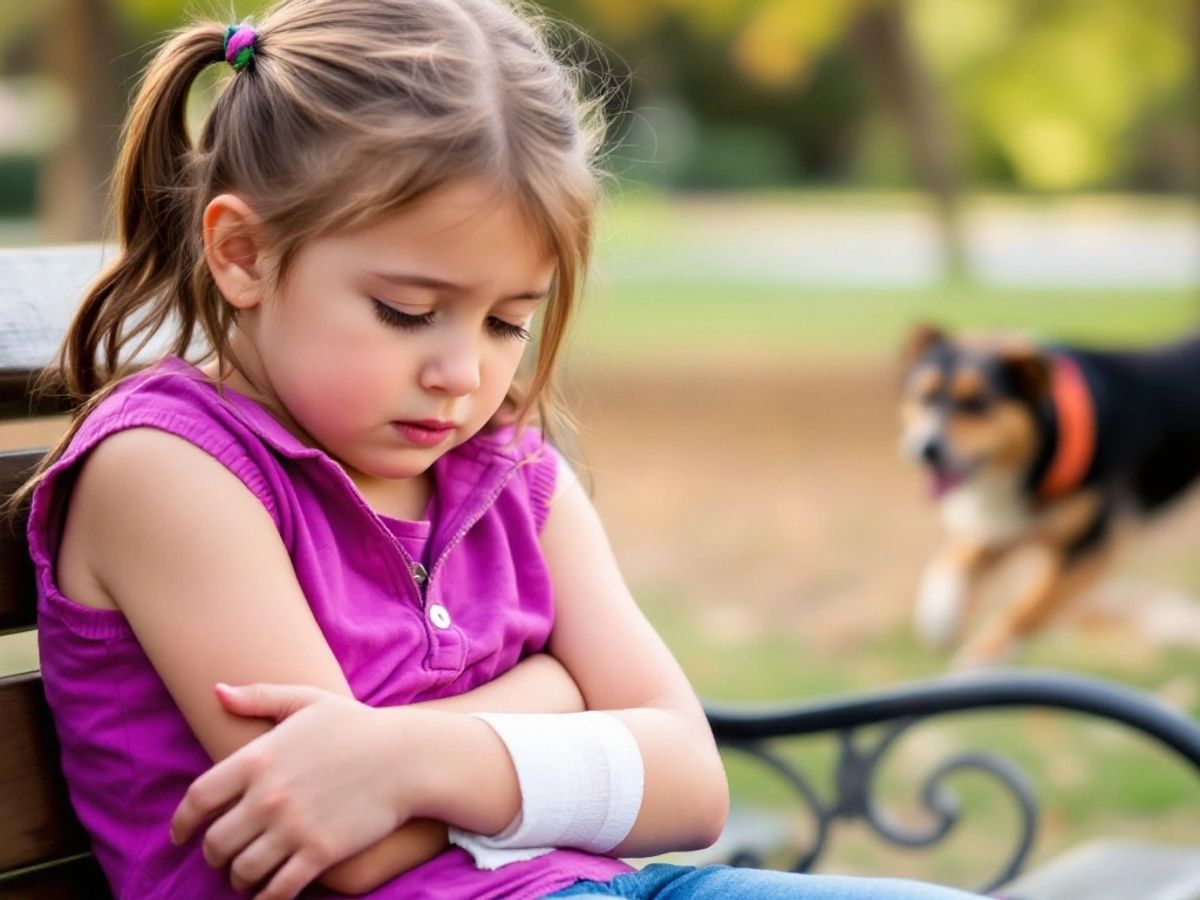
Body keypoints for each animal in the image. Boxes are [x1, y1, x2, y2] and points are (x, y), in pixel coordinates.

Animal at [902, 328, 1200, 667]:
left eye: (977, 403)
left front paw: (977, 664)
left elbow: (1028, 608)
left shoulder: (1091, 549)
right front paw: (940, 619)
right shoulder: (1008, 523)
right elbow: (953, 562)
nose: (926, 449)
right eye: (923, 397)